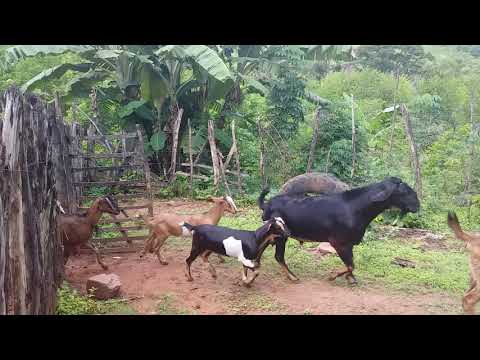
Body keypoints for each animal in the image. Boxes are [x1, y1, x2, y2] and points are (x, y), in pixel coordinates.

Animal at [258, 176, 420, 284]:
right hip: (280, 235)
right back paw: (292, 276)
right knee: (279, 256)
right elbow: (351, 265)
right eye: (405, 191)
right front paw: (334, 276)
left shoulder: (349, 243)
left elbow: (351, 264)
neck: (357, 207)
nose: (418, 205)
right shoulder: (339, 243)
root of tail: (267, 204)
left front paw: (350, 278)